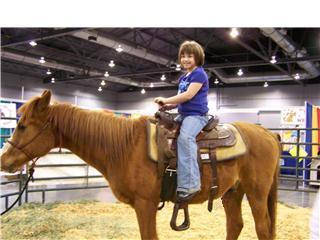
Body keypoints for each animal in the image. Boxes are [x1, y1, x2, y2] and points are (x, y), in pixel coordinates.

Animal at [0, 90, 280, 240]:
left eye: (23, 125)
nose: (4, 161)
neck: (125, 146)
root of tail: (267, 134)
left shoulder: (145, 204)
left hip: (256, 193)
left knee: (262, 229)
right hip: (232, 192)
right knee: (235, 225)